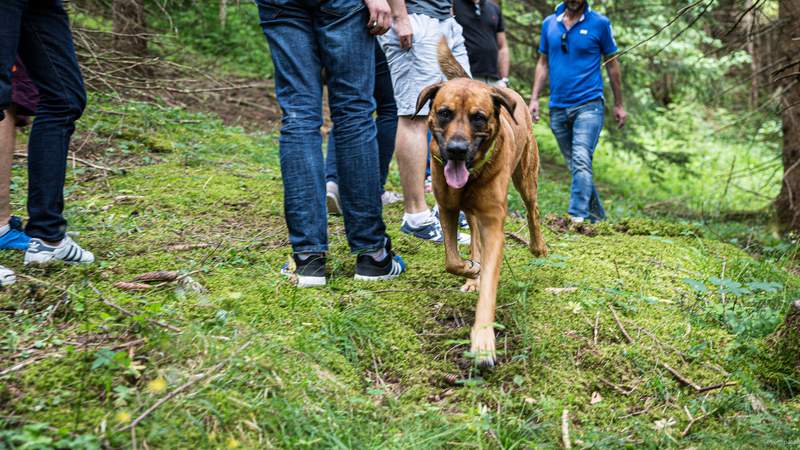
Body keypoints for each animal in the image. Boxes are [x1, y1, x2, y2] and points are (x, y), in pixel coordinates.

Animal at [416, 40, 548, 368]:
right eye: (445, 113)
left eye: (478, 117)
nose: (457, 149)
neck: (473, 174)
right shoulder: (448, 208)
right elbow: (452, 260)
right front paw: (470, 270)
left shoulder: (493, 225)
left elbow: (489, 283)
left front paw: (483, 341)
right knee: (473, 232)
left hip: (526, 176)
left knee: (533, 209)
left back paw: (538, 246)